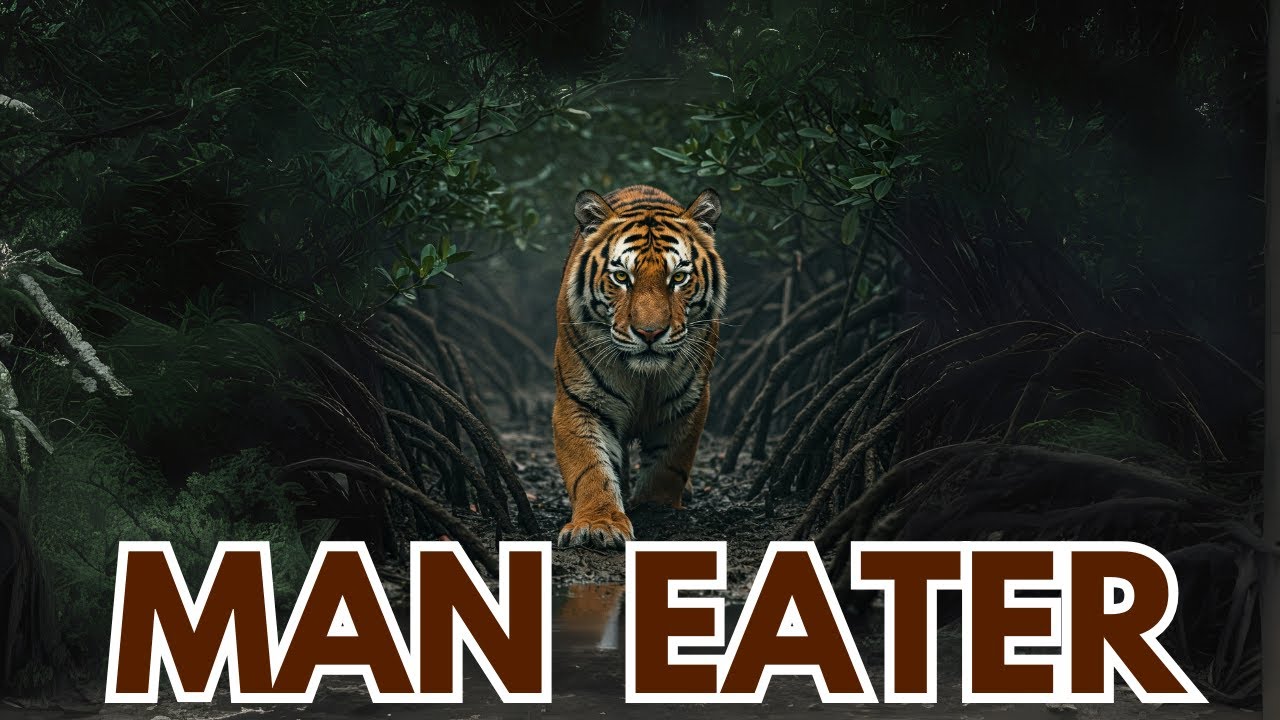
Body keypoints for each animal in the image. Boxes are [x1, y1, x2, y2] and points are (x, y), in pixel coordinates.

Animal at [552, 184, 726, 549]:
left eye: (679, 277)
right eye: (621, 276)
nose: (649, 333)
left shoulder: (688, 402)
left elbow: (668, 464)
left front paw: (656, 509)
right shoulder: (579, 400)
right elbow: (590, 468)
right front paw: (599, 525)